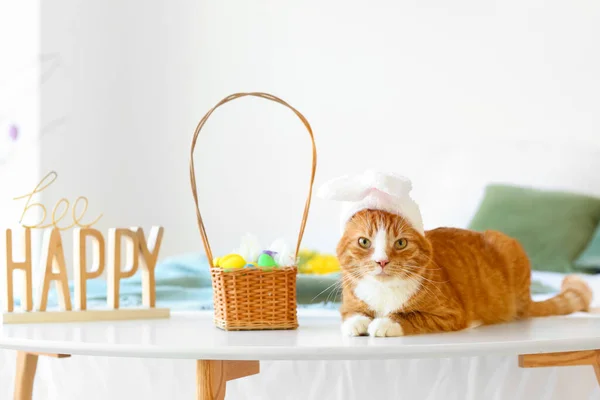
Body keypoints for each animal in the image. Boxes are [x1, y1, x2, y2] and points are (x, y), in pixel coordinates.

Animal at [336, 209, 592, 338]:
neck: (383, 292)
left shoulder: (450, 314)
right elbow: (352, 314)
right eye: (364, 242)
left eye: (400, 243)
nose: (381, 261)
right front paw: (358, 322)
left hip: (506, 244)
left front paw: (385, 323)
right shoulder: (348, 303)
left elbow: (409, 316)